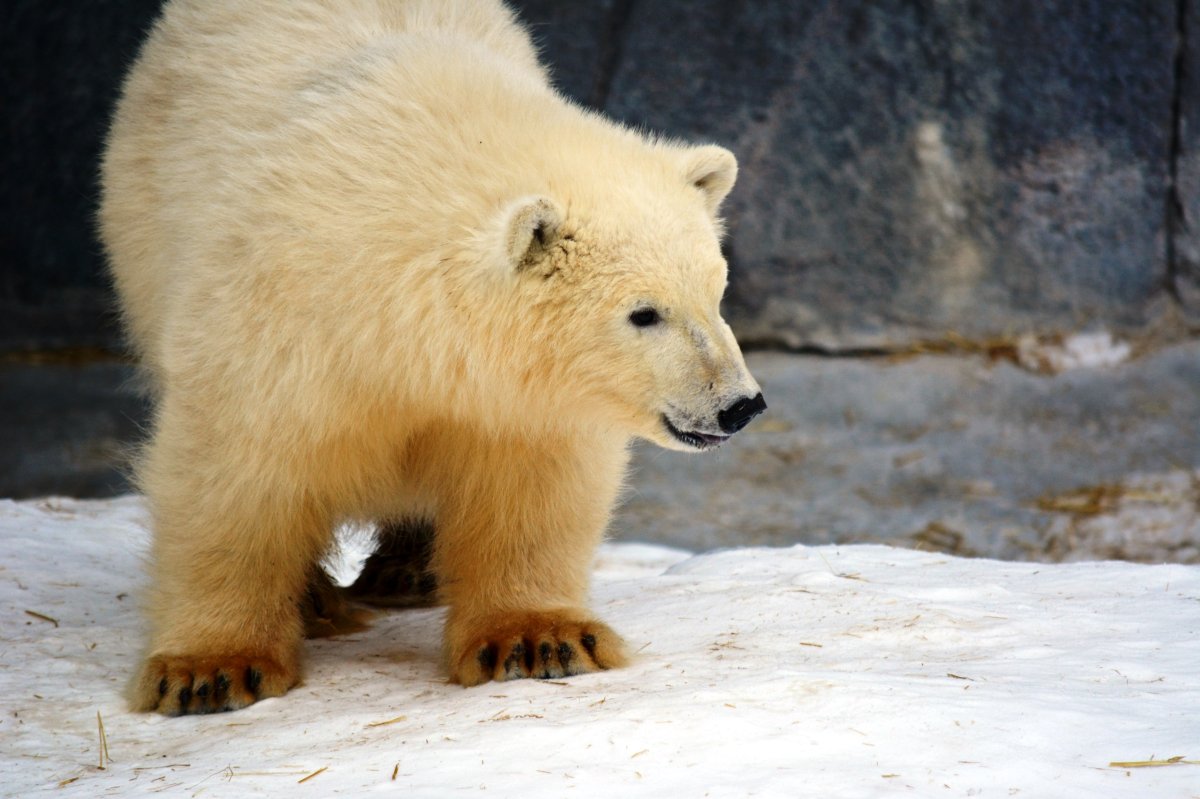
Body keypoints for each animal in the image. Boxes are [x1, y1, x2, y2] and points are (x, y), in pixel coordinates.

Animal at [98, 0, 763, 710]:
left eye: (716, 292)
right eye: (644, 312)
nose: (740, 405)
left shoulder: (515, 392)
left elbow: (531, 479)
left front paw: (540, 640)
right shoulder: (277, 323)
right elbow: (235, 471)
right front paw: (210, 671)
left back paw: (406, 572)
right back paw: (318, 602)